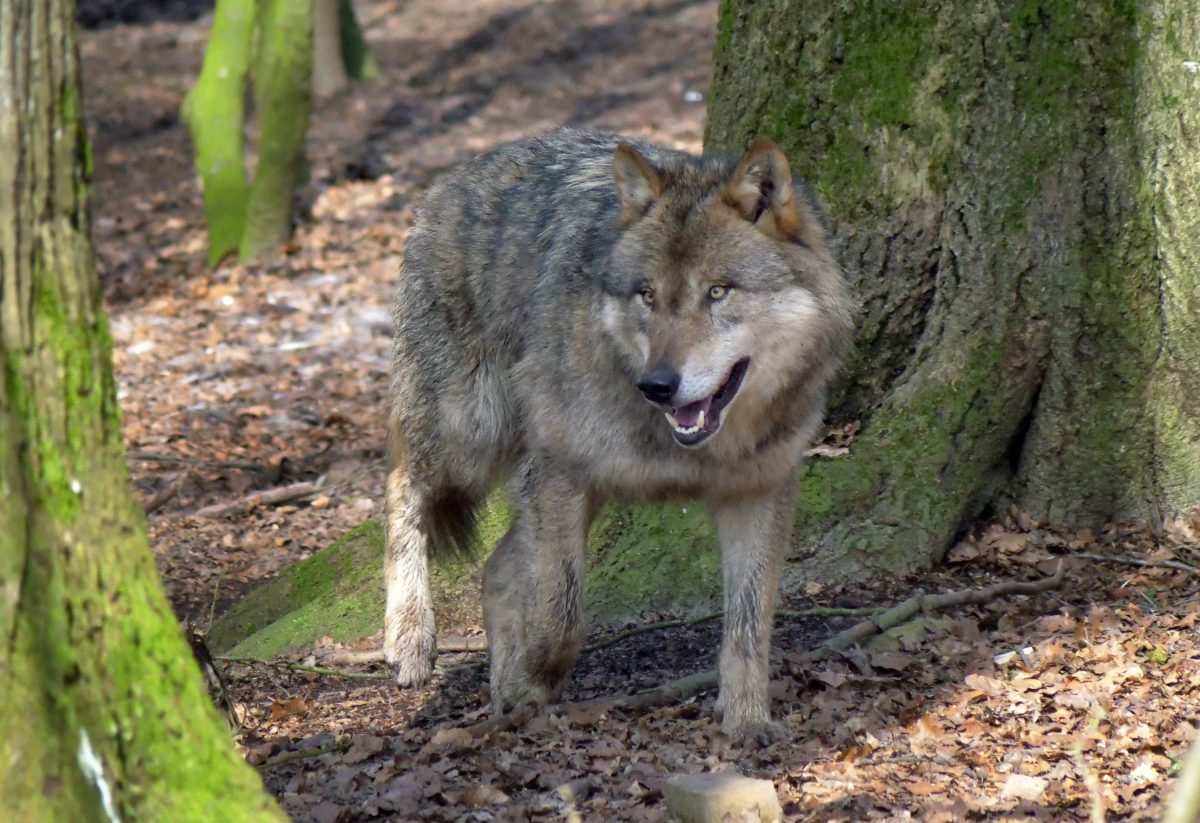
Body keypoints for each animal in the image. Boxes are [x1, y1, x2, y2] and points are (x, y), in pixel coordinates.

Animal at [384, 128, 854, 743]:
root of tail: (451, 178)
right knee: (400, 483)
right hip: (471, 434)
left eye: (718, 292)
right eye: (647, 295)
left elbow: (749, 626)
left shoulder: (759, 491)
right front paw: (532, 681)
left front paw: (748, 720)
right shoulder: (561, 474)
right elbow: (562, 614)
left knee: (495, 570)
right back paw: (410, 638)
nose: (657, 384)